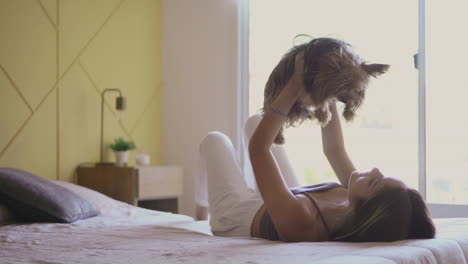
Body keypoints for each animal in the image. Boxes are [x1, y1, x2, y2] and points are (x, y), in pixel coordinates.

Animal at [264, 37, 392, 144]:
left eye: (356, 89)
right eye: (341, 87)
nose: (347, 101)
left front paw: (349, 113)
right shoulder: (314, 81)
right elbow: (320, 98)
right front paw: (325, 113)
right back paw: (279, 138)